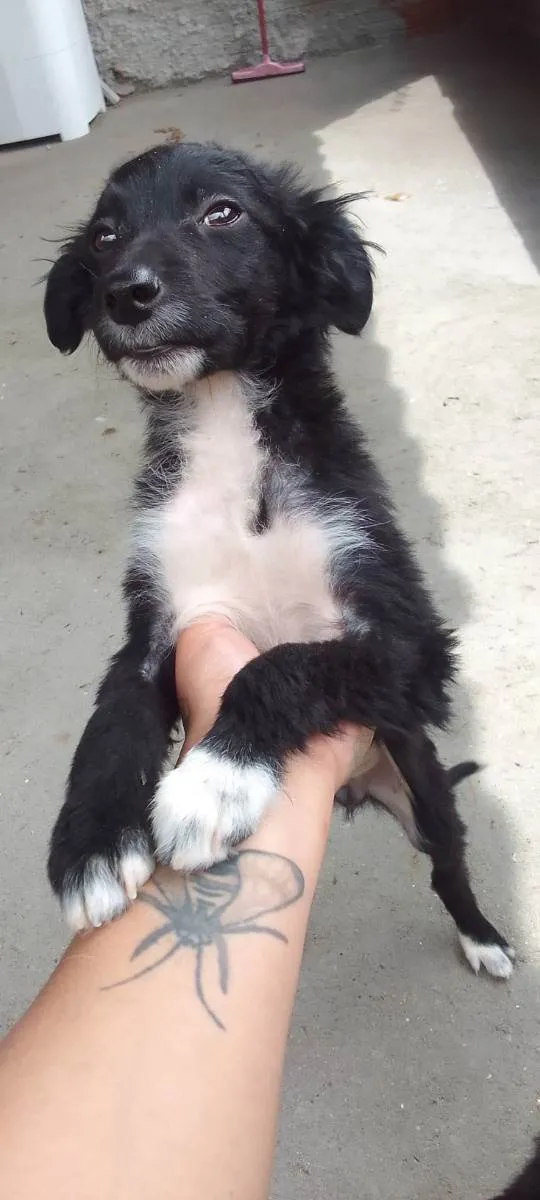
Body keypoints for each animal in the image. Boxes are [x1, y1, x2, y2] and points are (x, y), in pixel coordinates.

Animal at [44, 141, 513, 980]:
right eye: (103, 236)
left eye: (221, 212)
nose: (126, 294)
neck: (225, 417)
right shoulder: (156, 622)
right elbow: (114, 716)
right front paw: (93, 842)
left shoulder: (413, 646)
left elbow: (282, 664)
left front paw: (212, 782)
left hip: (427, 791)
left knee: (447, 866)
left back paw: (483, 937)